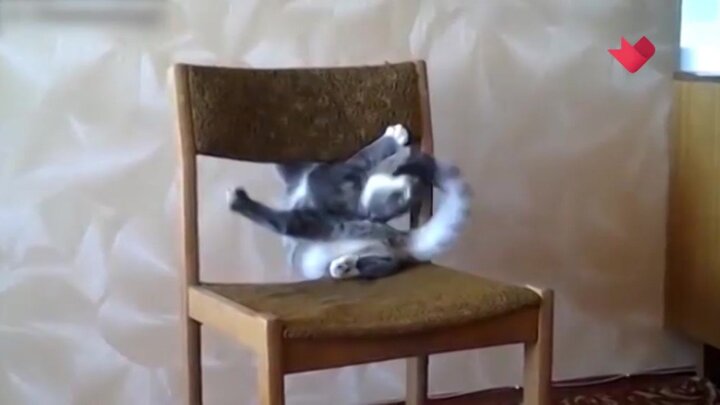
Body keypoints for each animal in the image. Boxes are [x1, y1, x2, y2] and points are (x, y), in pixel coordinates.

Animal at [229, 124, 472, 280]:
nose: (412, 183)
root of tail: (398, 237)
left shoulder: (340, 176)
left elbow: (363, 155)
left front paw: (393, 137)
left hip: (328, 226)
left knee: (289, 222)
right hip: (351, 239)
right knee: (377, 264)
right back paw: (344, 266)